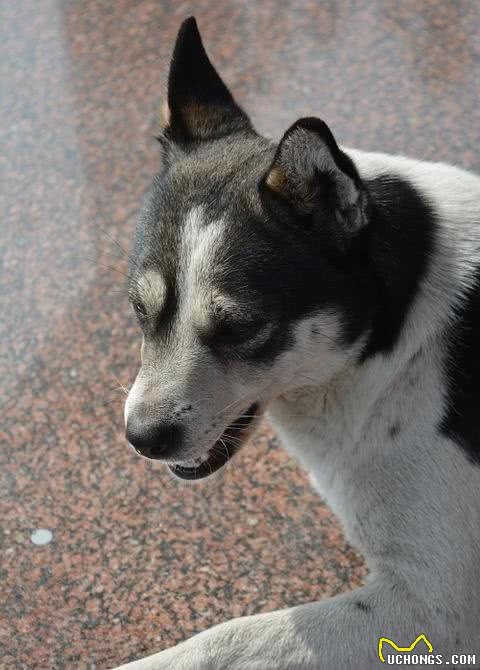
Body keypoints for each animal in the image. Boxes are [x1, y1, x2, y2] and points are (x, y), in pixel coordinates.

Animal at [117, 15, 480, 670]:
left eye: (240, 327)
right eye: (139, 309)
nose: (142, 438)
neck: (395, 343)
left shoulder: (434, 605)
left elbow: (224, 638)